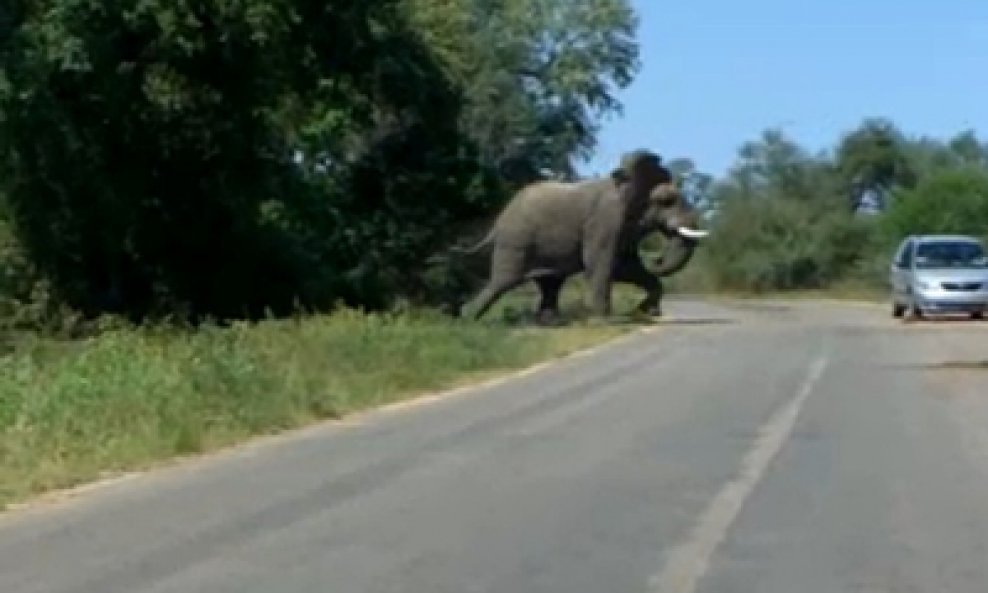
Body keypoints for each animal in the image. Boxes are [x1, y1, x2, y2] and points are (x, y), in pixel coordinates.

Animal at [456, 150, 712, 322]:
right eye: (666, 201)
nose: (657, 258)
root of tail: (499, 220)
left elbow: (626, 267)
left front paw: (646, 313)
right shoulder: (604, 221)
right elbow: (602, 263)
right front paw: (604, 321)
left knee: (550, 283)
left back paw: (550, 323)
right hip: (516, 240)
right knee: (503, 281)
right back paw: (467, 320)